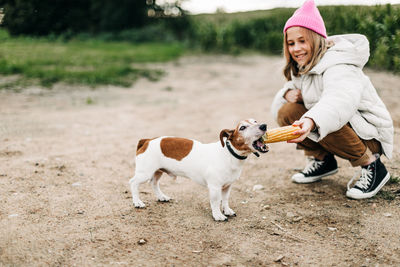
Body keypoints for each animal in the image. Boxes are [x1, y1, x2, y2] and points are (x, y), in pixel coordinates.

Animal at [130, 119, 268, 222]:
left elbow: (225, 200)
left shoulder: (227, 186)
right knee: (133, 183)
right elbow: (216, 202)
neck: (229, 154)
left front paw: (227, 210)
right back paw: (137, 202)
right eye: (242, 127)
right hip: (145, 173)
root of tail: (147, 140)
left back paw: (161, 197)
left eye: (255, 121)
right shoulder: (214, 187)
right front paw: (218, 215)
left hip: (158, 171)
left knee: (154, 183)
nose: (264, 125)